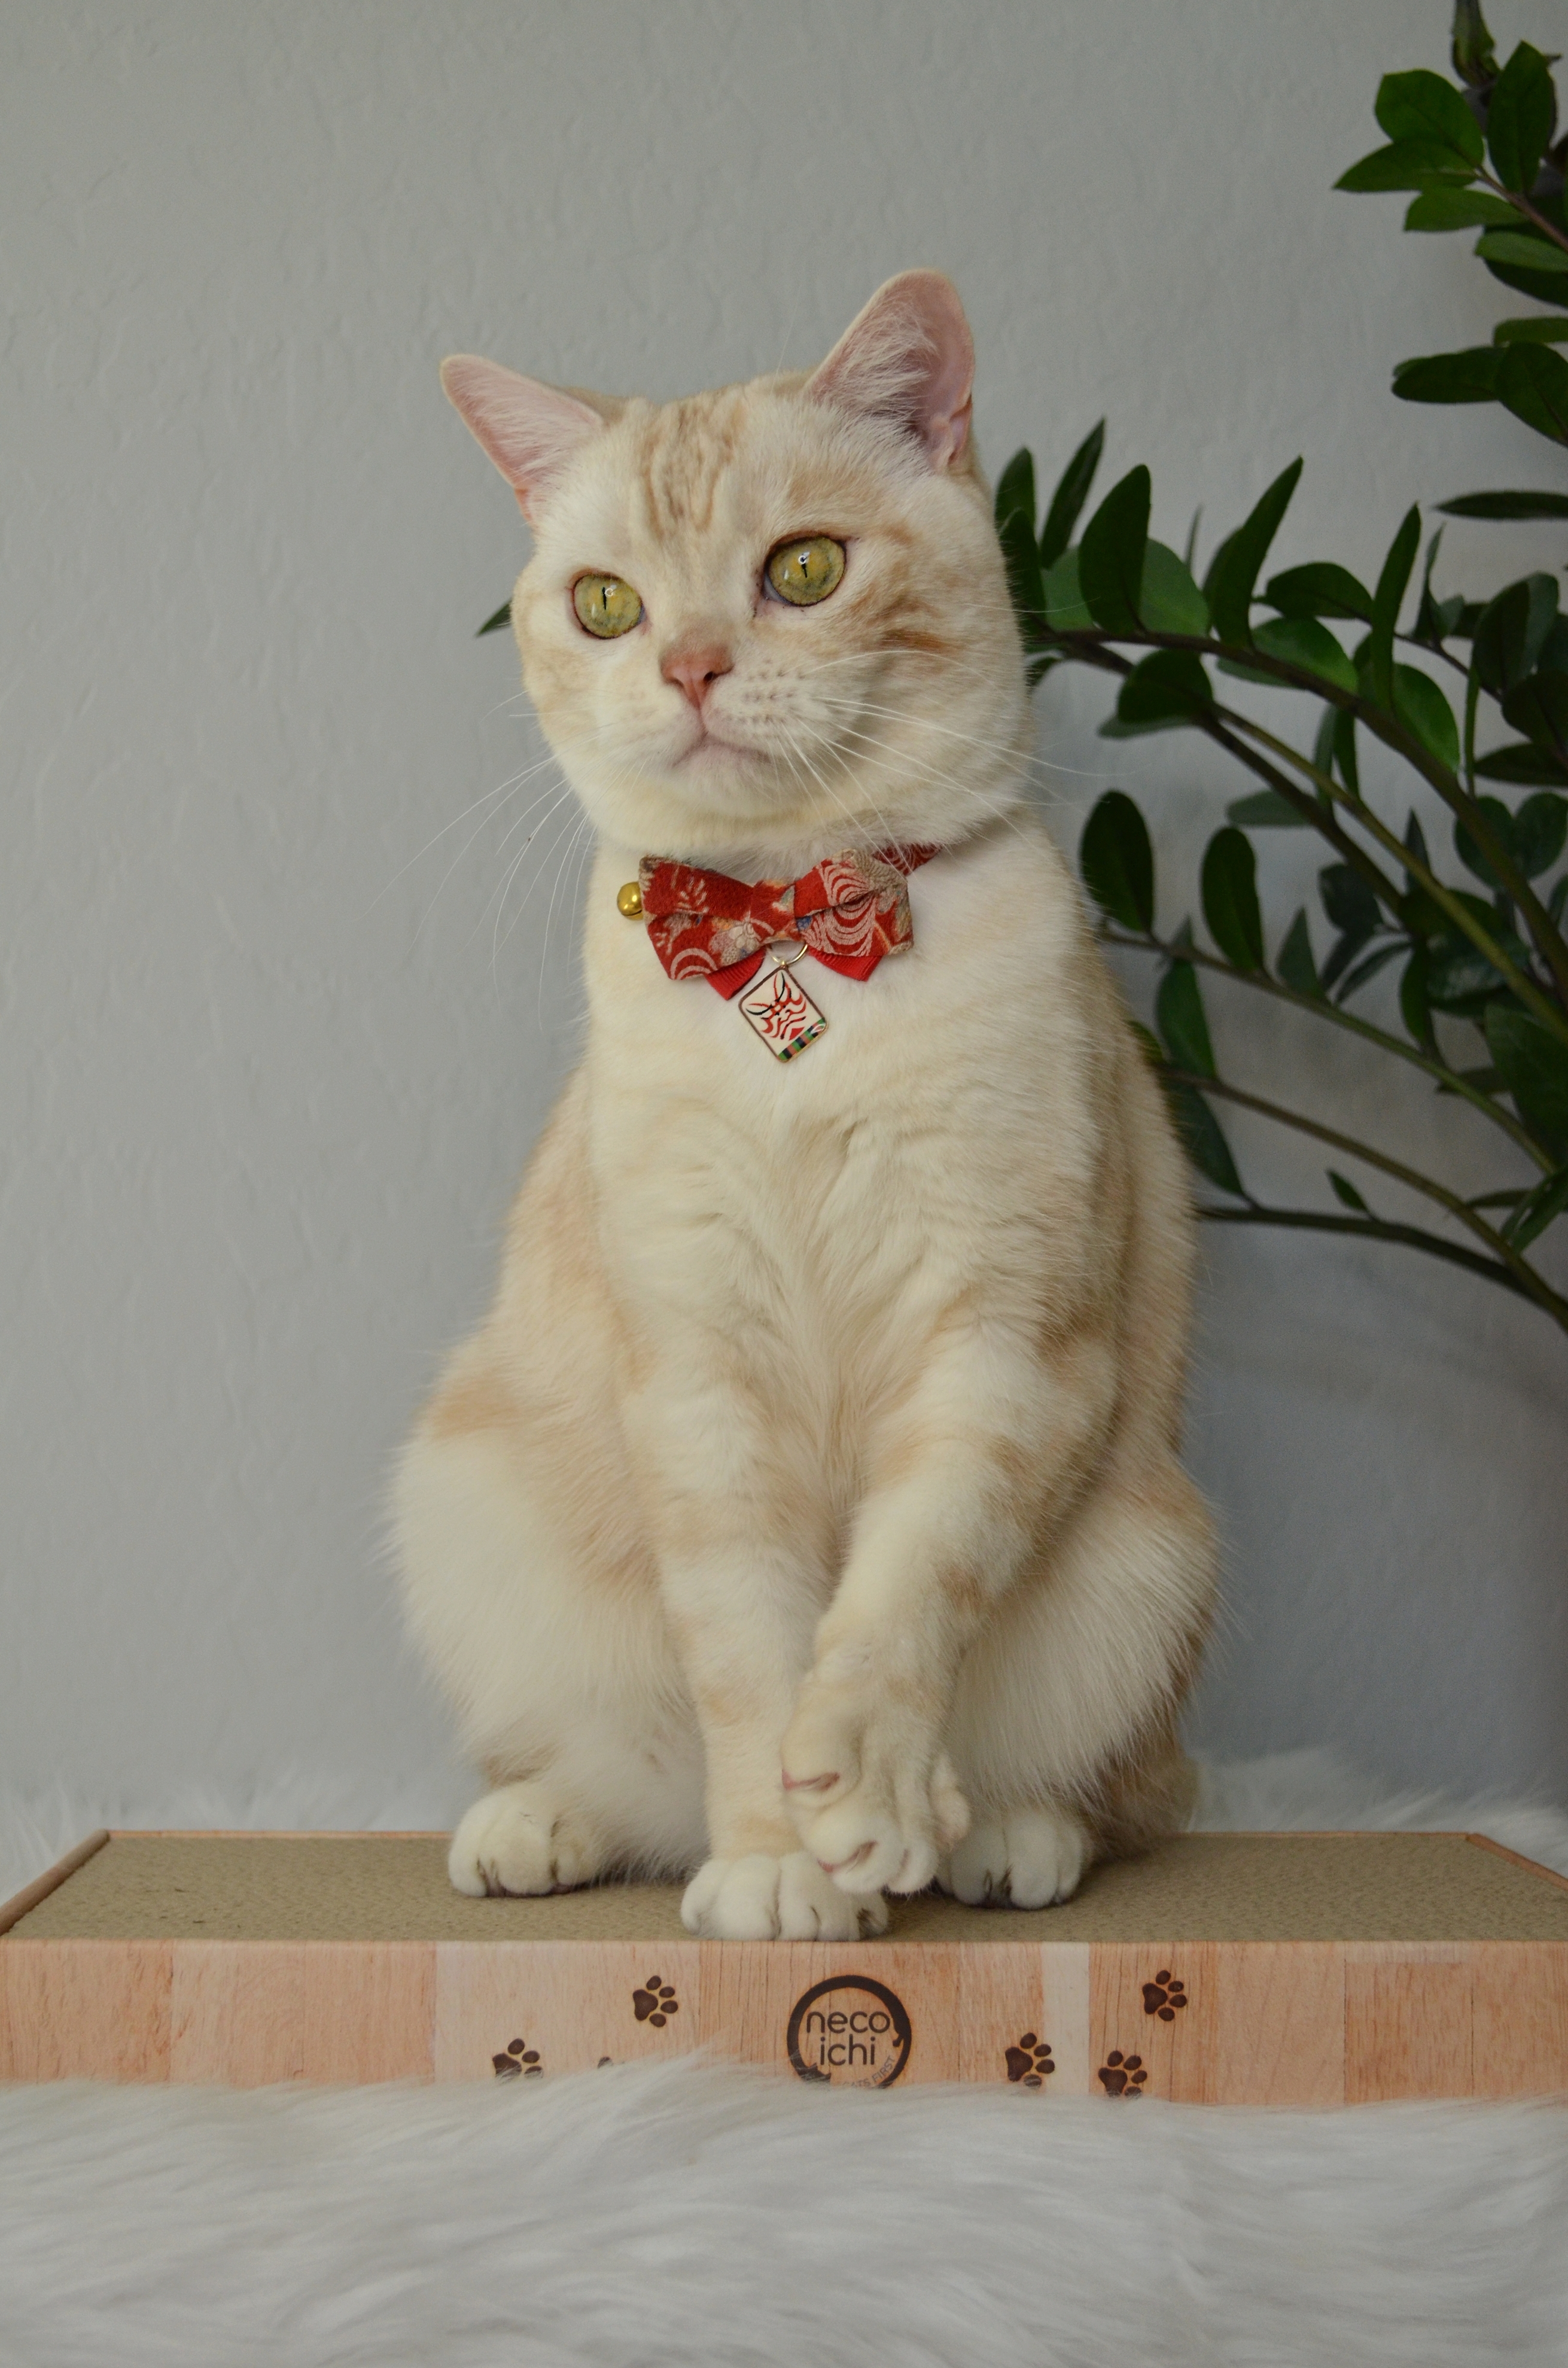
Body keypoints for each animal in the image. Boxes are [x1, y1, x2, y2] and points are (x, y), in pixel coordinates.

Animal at [400, 272, 1222, 1941]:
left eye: (803, 570)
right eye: (605, 604)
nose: (691, 668)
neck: (786, 935)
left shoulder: (1004, 1347)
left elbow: (900, 1595)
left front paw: (865, 1799)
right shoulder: (700, 1377)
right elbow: (745, 1652)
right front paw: (780, 1866)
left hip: (1149, 1570)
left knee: (1118, 1797)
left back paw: (1000, 1838)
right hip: (462, 1493)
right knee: (638, 1784)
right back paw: (545, 1825)